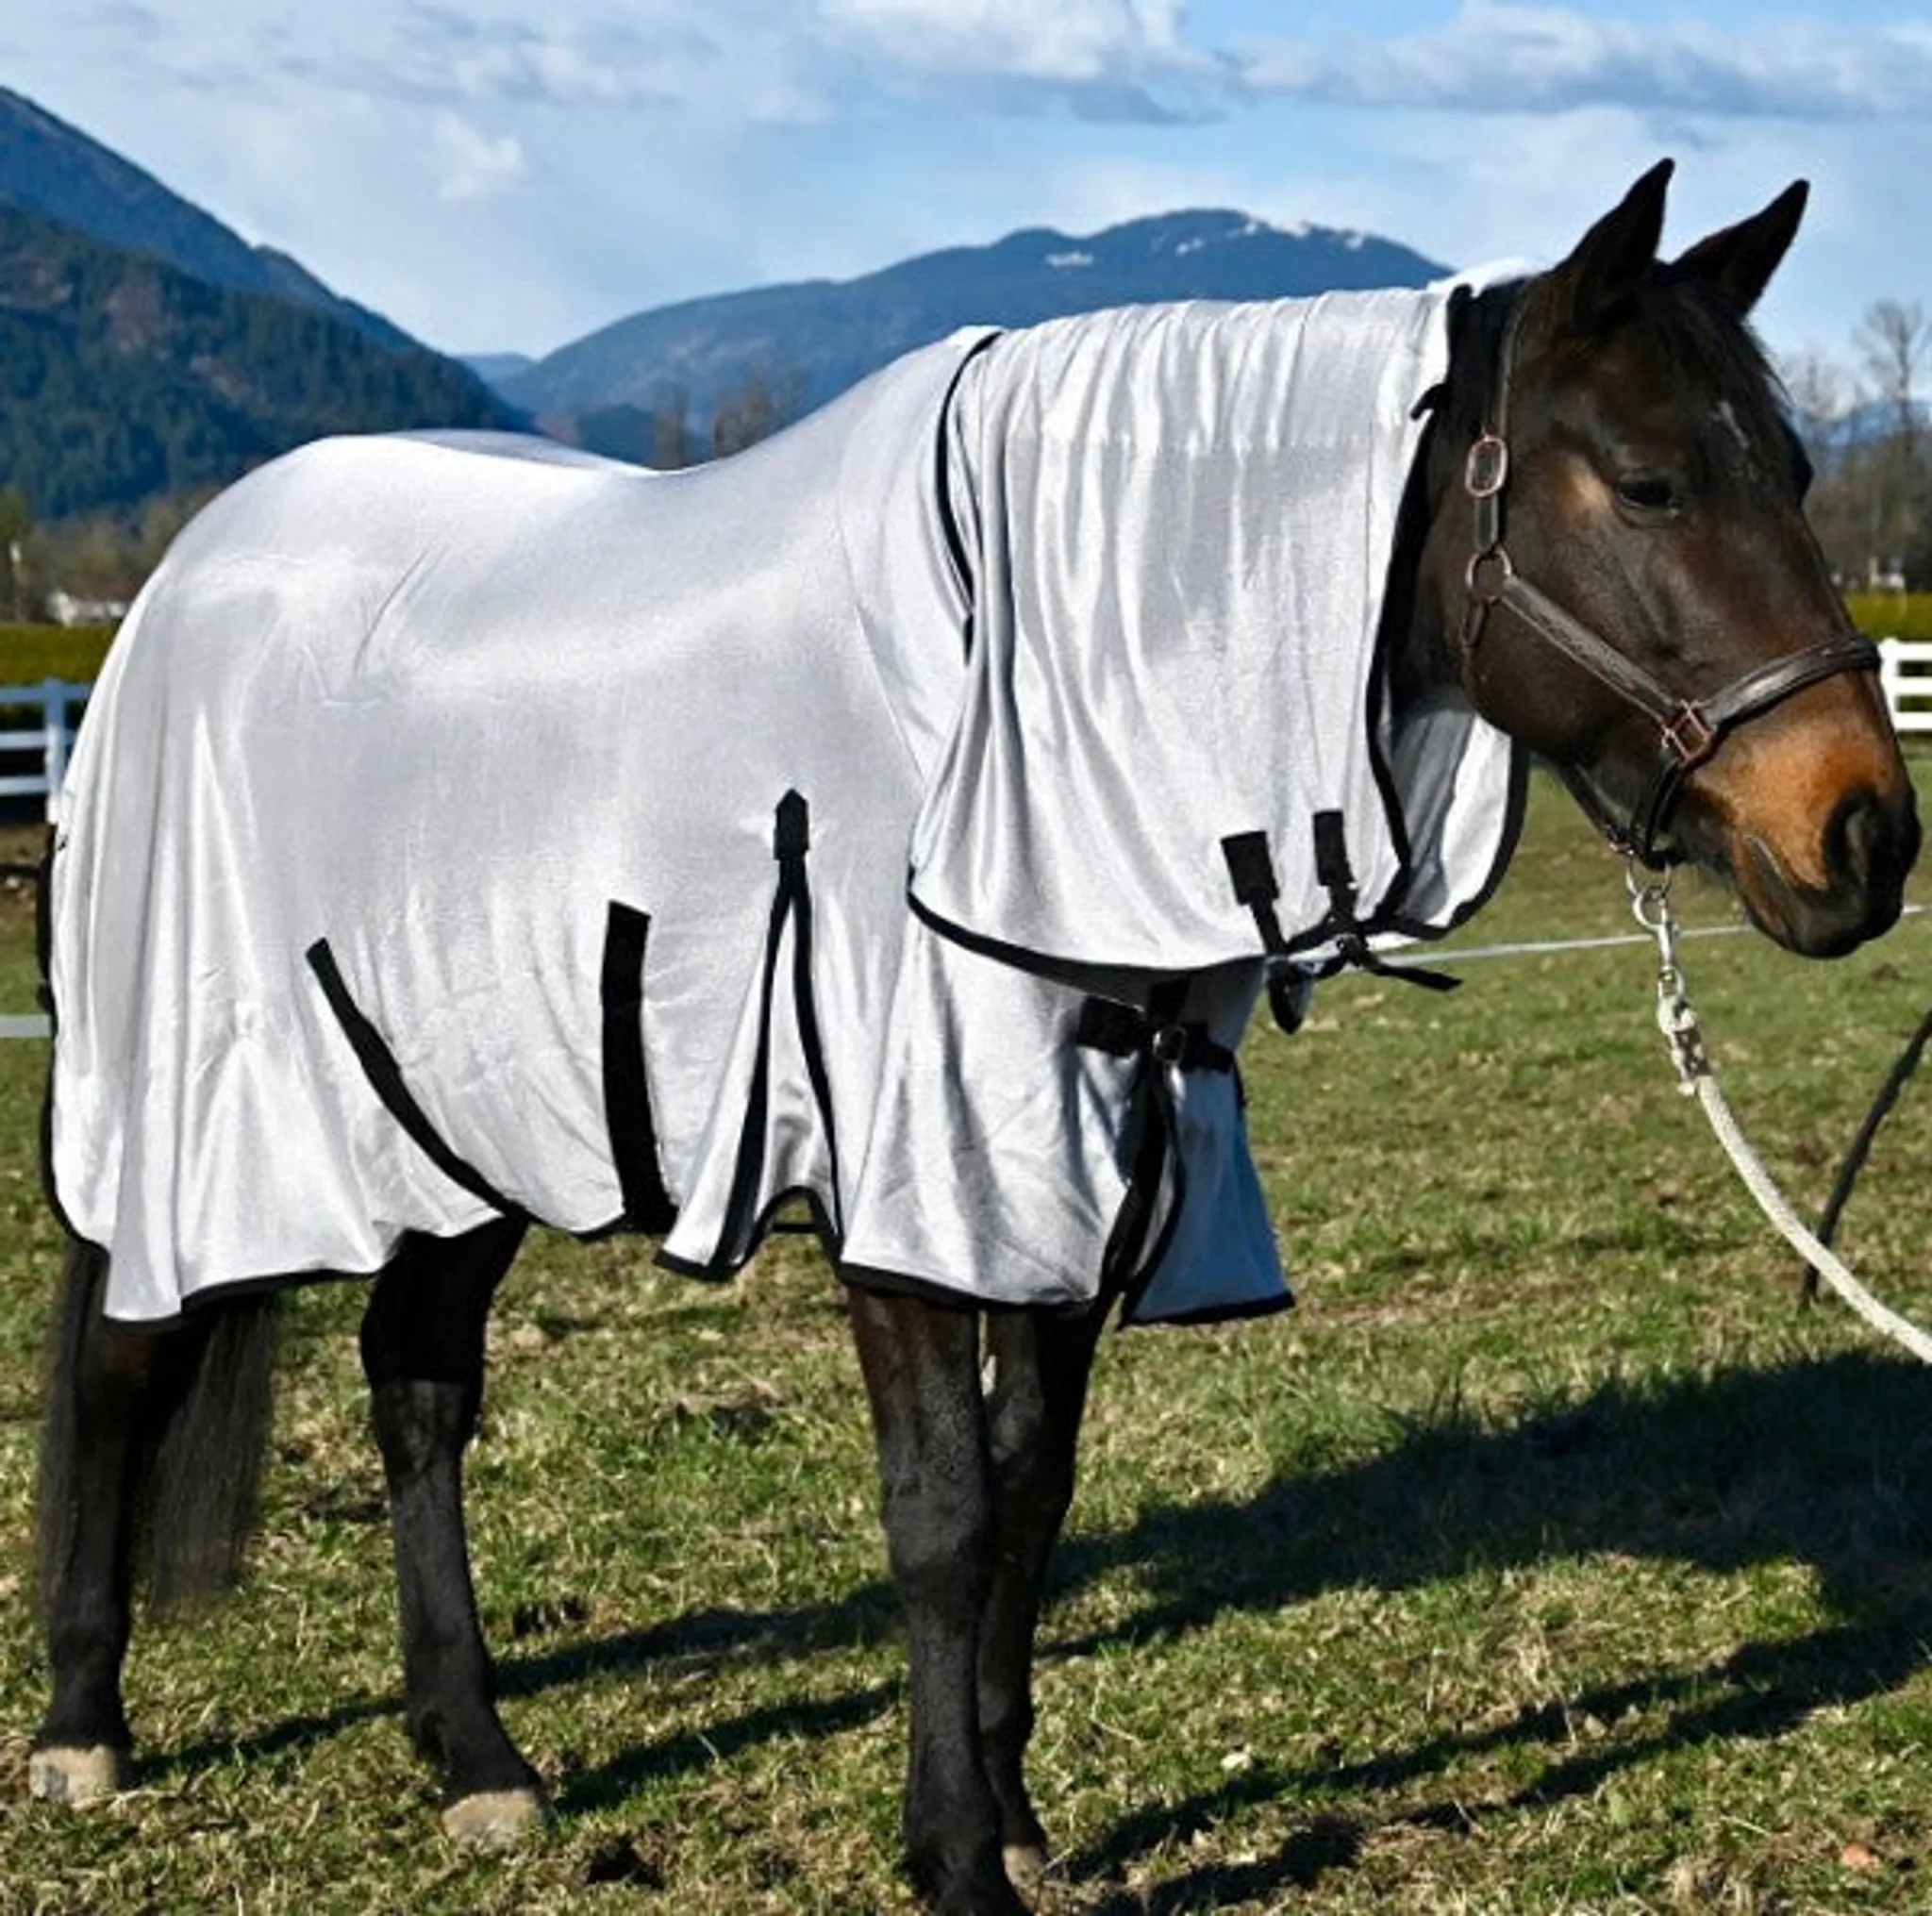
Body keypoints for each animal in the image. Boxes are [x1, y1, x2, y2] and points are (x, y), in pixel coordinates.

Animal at [26, 161, 1918, 1915]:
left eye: (1798, 472)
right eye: (1653, 480)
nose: (1862, 836)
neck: (1014, 674)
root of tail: (182, 585)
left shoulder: (1087, 1158)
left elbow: (1030, 1485)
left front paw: (1008, 1809)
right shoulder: (915, 1178)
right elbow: (937, 1516)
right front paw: (950, 1857)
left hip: (468, 1115)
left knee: (416, 1387)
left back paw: (476, 1756)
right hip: (212, 1118)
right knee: (126, 1362)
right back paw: (80, 1728)